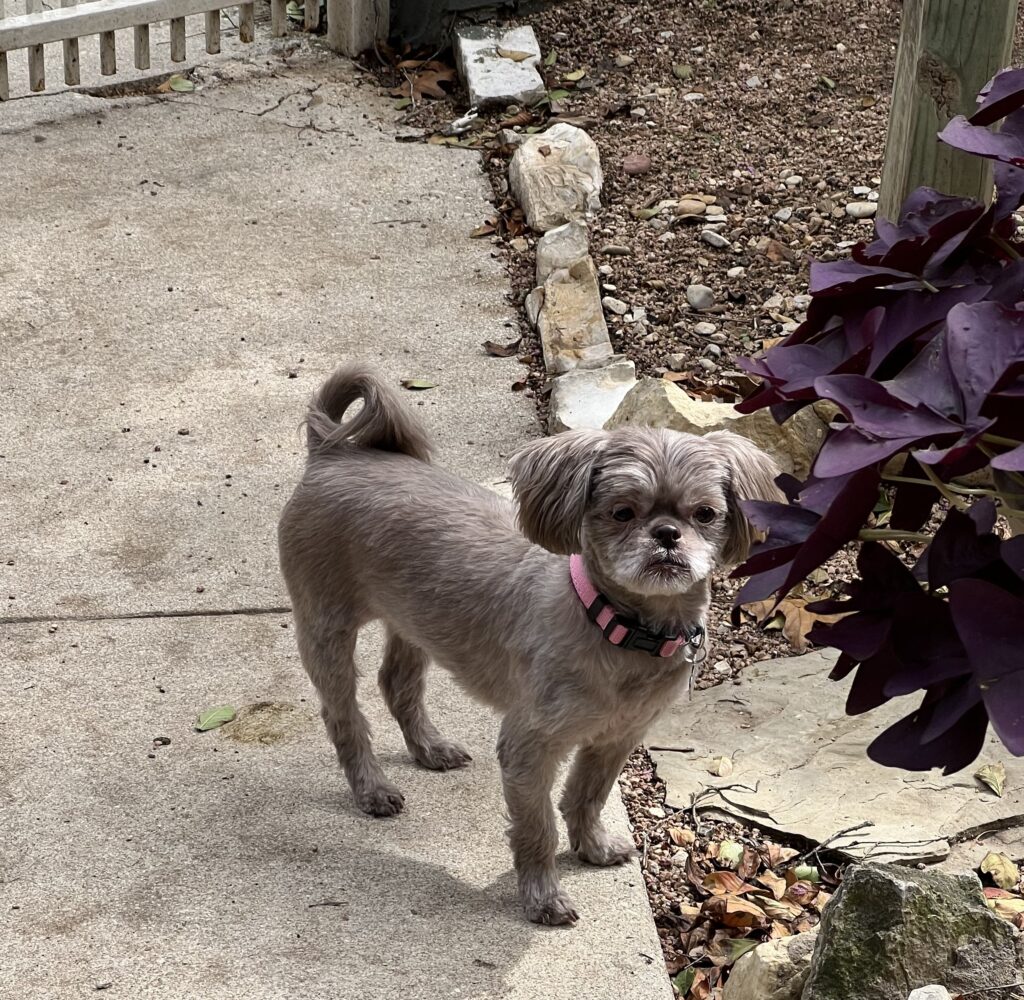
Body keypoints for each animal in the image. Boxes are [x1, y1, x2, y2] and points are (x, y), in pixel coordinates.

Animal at [278, 364, 780, 925]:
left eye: (706, 514)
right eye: (623, 512)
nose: (668, 533)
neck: (618, 629)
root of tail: (331, 453)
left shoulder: (616, 738)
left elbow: (587, 797)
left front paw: (593, 847)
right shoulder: (529, 746)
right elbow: (538, 826)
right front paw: (542, 897)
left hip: (414, 618)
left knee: (396, 683)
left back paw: (429, 748)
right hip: (327, 625)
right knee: (343, 714)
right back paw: (371, 788)